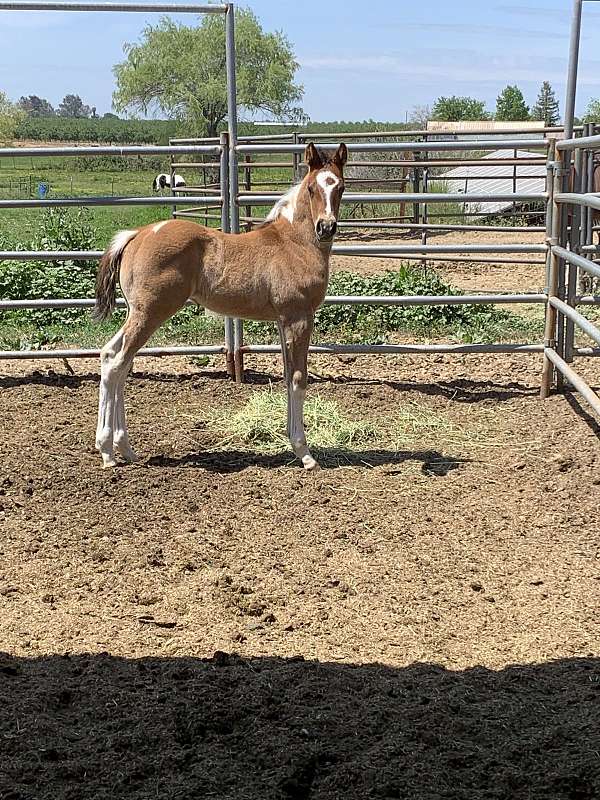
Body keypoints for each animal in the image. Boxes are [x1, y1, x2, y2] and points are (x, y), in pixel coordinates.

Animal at [93, 142, 346, 468]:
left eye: (340, 187)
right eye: (313, 188)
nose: (326, 227)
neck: (293, 244)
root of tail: (138, 234)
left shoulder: (283, 321)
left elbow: (287, 375)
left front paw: (294, 444)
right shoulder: (299, 318)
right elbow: (299, 379)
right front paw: (305, 453)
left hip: (136, 313)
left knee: (113, 357)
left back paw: (124, 448)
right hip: (150, 313)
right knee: (117, 364)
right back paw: (108, 452)